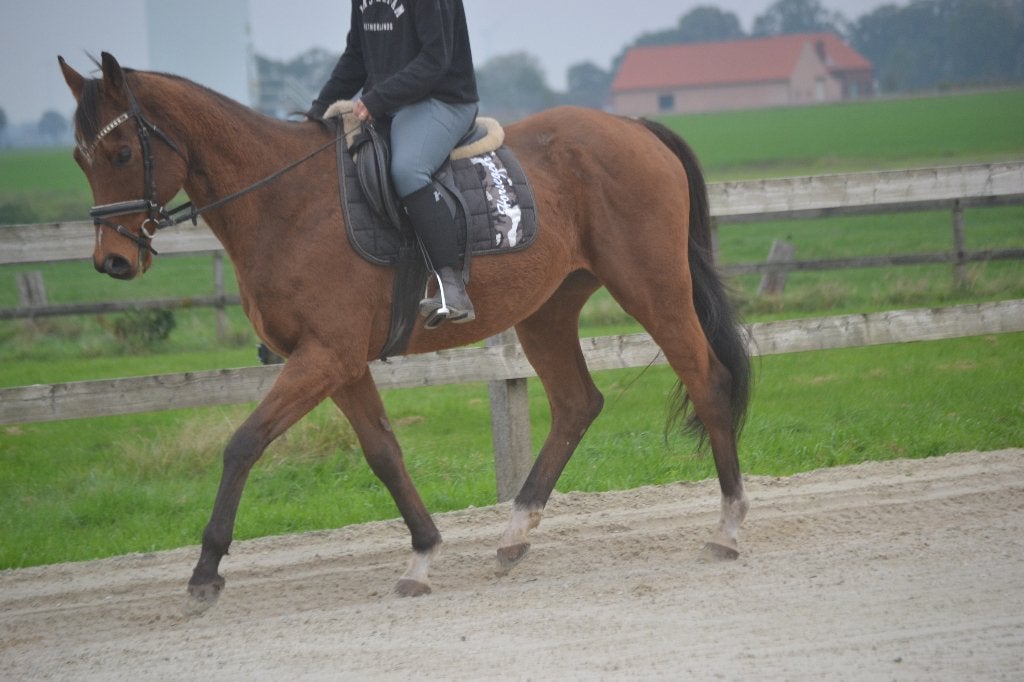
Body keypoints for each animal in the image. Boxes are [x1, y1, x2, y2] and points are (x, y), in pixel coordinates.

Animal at [58, 52, 752, 608]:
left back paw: (727, 528)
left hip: (654, 292)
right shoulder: (339, 364)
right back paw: (514, 535)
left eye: (122, 153)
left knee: (708, 381)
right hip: (547, 313)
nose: (112, 262)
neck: (283, 204)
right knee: (578, 403)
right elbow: (383, 452)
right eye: (78, 158)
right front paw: (422, 555)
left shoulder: (322, 357)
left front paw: (205, 572)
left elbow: (244, 444)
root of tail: (633, 127)